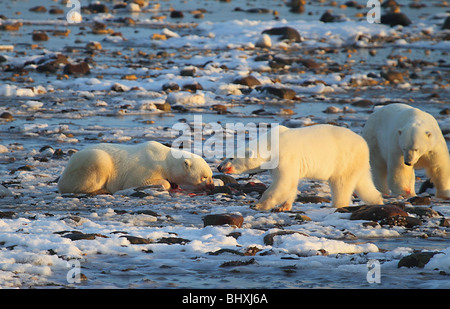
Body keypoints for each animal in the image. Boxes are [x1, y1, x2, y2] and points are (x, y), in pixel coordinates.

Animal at [58, 141, 214, 194]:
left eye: (211, 176)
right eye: (204, 176)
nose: (212, 186)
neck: (164, 160)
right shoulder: (146, 168)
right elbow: (137, 181)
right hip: (91, 162)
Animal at [218, 124, 384, 211]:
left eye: (231, 158)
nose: (219, 167)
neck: (271, 144)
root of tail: (364, 144)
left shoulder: (285, 156)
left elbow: (284, 182)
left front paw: (258, 204)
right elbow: (289, 183)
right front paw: (284, 206)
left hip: (343, 159)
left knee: (341, 183)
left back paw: (336, 204)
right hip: (357, 164)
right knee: (363, 183)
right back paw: (378, 200)